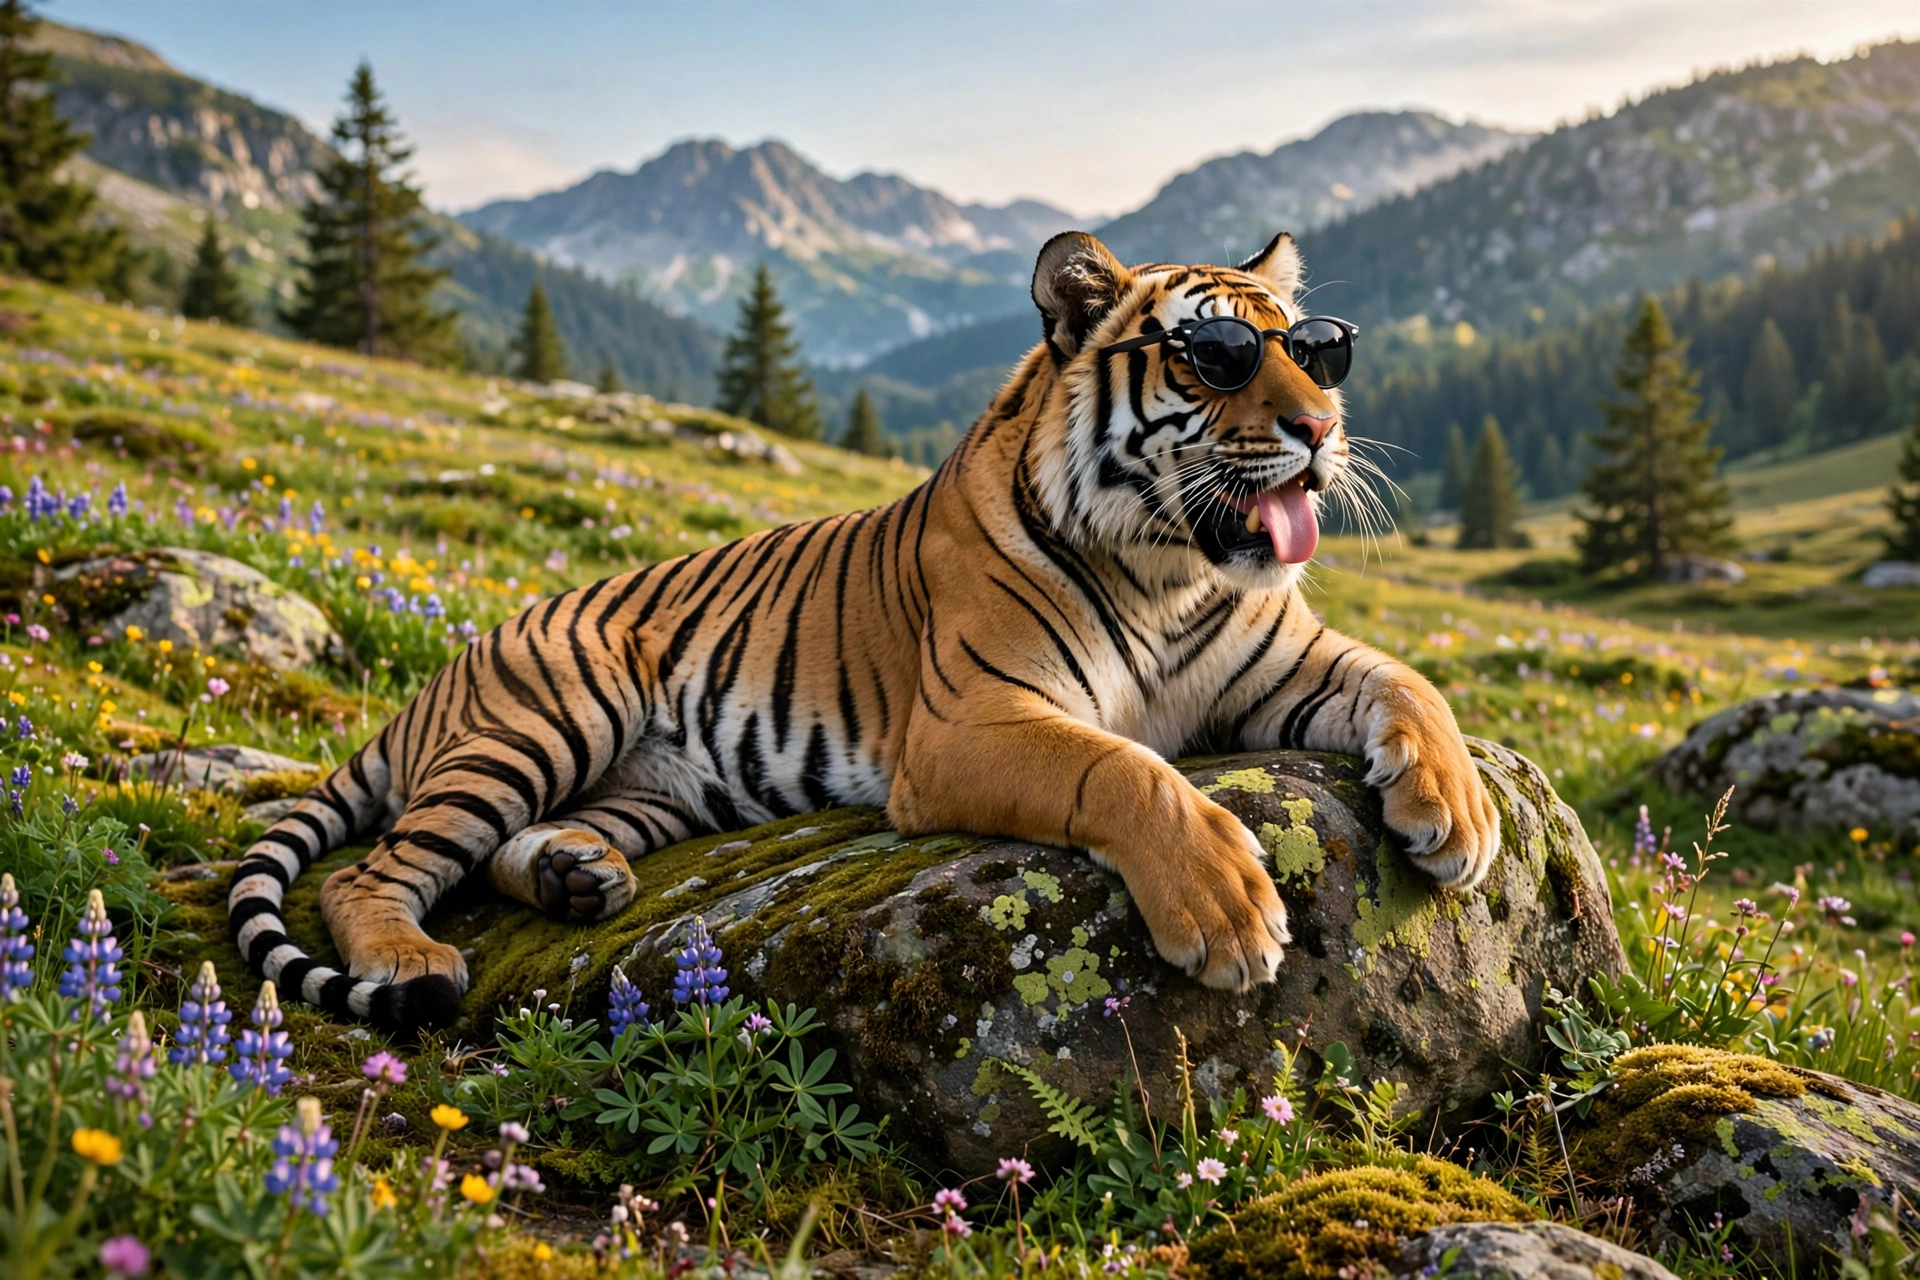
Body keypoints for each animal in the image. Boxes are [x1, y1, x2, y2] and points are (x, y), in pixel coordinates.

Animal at [227, 230, 1501, 1031]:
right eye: (1218, 355)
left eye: (1316, 348)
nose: (1322, 427)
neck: (1169, 571)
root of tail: (436, 678)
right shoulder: (969, 720)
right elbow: (1122, 767)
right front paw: (1227, 908)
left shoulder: (1286, 662)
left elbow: (1411, 680)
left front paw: (1457, 813)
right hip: (548, 716)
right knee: (378, 869)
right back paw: (411, 955)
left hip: (653, 789)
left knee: (504, 848)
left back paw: (578, 876)